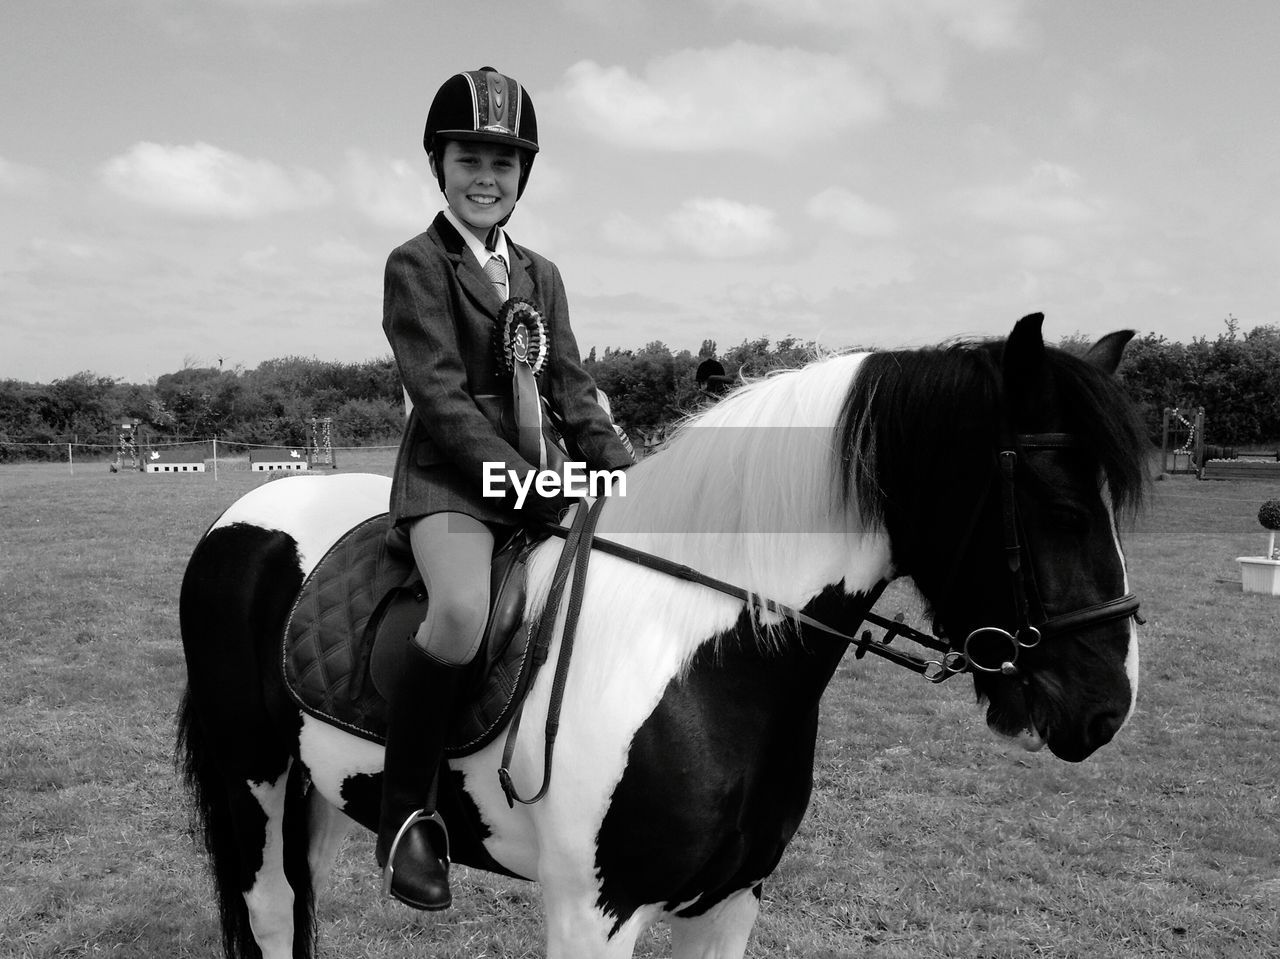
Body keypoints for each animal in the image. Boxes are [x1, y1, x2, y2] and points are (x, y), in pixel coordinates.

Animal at [177, 316, 1152, 957]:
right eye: (1061, 509)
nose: (1106, 708)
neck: (704, 659)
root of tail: (244, 513)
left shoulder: (728, 903)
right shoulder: (592, 915)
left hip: (320, 790)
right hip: (252, 780)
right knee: (273, 913)